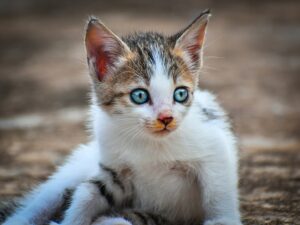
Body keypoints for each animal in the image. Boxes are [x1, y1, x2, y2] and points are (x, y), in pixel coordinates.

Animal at [2, 9, 241, 225]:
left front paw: (222, 220)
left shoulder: (214, 143)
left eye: (180, 94)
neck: (151, 143)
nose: (166, 118)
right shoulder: (114, 170)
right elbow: (88, 192)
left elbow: (219, 188)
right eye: (139, 96)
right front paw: (73, 220)